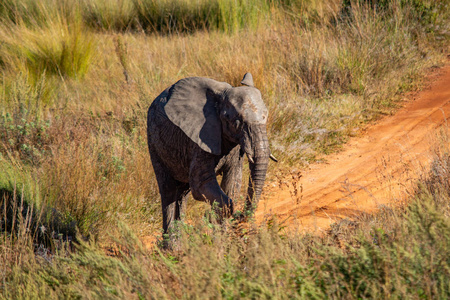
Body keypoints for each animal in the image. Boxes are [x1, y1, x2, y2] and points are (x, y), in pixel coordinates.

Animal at [148, 73, 276, 237]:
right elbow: (200, 184)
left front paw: (221, 233)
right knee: (168, 191)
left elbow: (233, 180)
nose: (240, 216)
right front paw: (212, 219)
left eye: (266, 116)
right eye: (236, 122)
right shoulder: (199, 140)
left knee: (182, 194)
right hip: (154, 143)